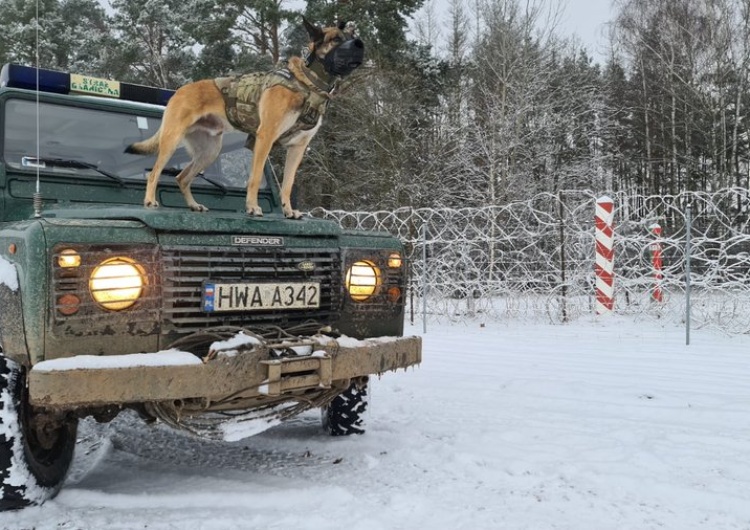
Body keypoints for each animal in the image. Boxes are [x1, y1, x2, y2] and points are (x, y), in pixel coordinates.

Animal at [124, 18, 364, 217]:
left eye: (352, 36)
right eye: (335, 39)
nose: (360, 44)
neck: (308, 83)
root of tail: (180, 90)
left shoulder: (298, 147)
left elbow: (288, 183)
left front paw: (289, 211)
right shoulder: (265, 137)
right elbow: (255, 178)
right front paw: (252, 207)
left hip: (210, 151)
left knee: (181, 177)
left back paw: (194, 205)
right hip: (172, 141)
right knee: (155, 172)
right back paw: (149, 201)